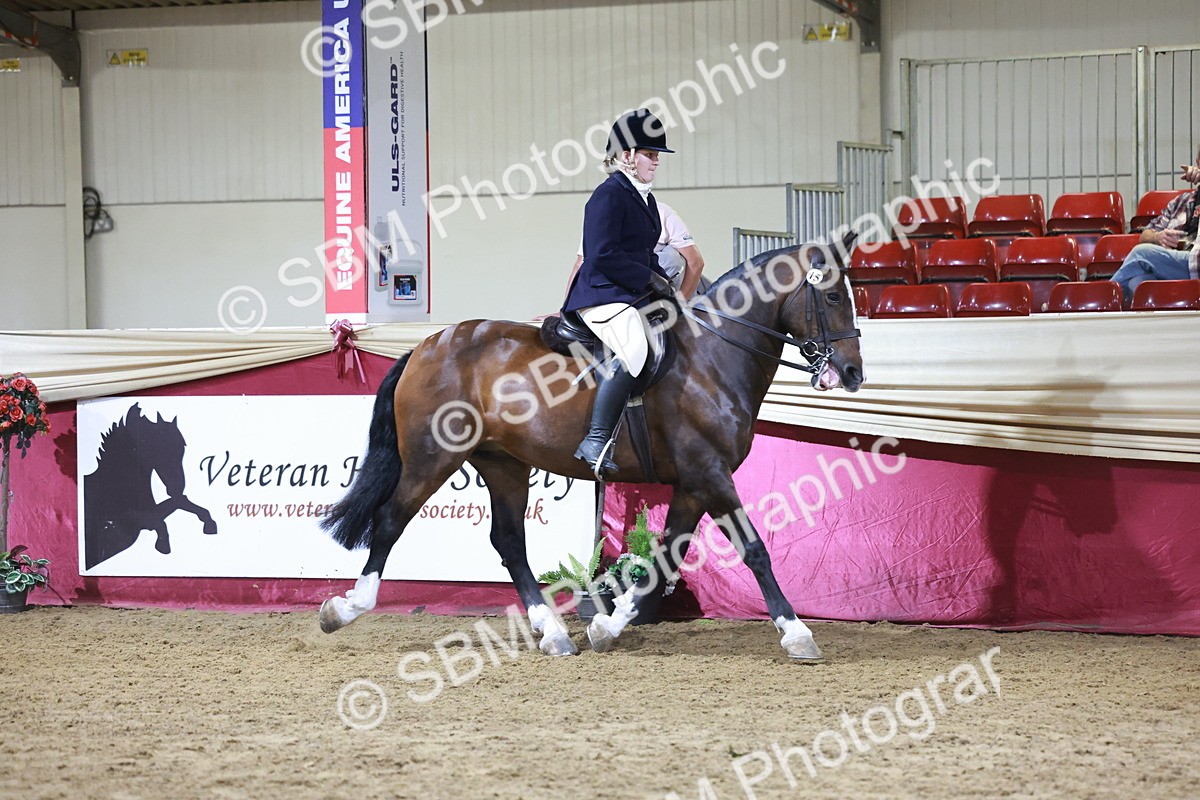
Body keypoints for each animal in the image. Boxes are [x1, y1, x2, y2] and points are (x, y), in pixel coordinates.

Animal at [83, 403, 217, 570]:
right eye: (156, 445)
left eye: (182, 447)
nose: (177, 488)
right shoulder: (133, 521)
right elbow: (160, 523)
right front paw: (163, 545)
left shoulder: (151, 512)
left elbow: (180, 502)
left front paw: (209, 523)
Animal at [319, 235, 864, 660]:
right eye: (834, 296)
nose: (854, 373)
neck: (714, 357)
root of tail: (427, 344)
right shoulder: (710, 474)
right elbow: (754, 550)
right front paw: (797, 633)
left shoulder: (693, 483)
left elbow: (663, 560)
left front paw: (606, 626)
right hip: (431, 458)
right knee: (390, 521)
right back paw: (344, 609)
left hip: (503, 464)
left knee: (509, 541)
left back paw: (553, 633)